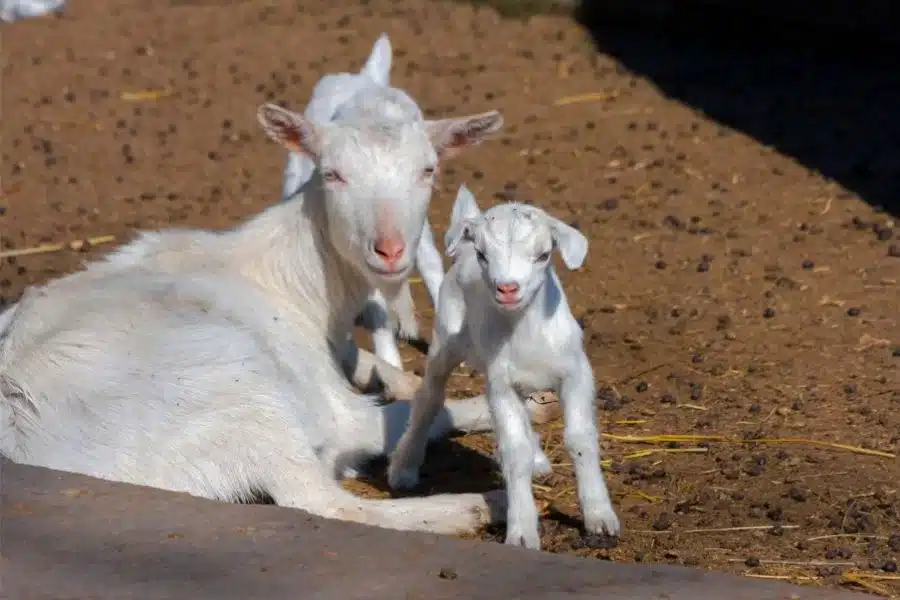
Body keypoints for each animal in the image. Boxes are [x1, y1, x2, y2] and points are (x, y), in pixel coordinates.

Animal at [0, 102, 564, 536]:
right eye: (332, 173)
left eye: (428, 170)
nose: (389, 250)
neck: (290, 284)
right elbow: (421, 409)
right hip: (243, 396)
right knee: (329, 498)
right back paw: (480, 506)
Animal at [386, 186, 620, 548]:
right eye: (484, 255)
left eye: (543, 255)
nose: (508, 288)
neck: (526, 331)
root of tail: (461, 253)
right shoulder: (500, 386)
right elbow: (514, 450)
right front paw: (522, 531)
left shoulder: (576, 373)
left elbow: (580, 439)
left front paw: (599, 516)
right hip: (446, 342)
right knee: (429, 398)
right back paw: (404, 467)